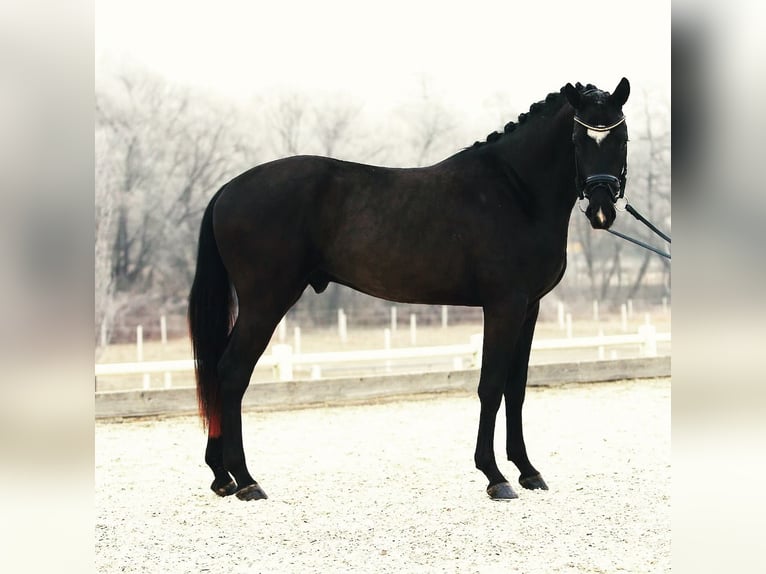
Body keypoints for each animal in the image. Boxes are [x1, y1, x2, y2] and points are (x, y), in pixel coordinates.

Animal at [188, 78, 631, 501]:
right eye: (578, 139)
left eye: (621, 138)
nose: (602, 210)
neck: (516, 192)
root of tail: (228, 189)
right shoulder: (504, 306)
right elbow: (490, 386)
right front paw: (494, 476)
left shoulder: (529, 308)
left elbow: (515, 389)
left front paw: (528, 471)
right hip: (265, 302)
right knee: (232, 372)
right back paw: (246, 480)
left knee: (219, 369)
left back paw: (222, 476)